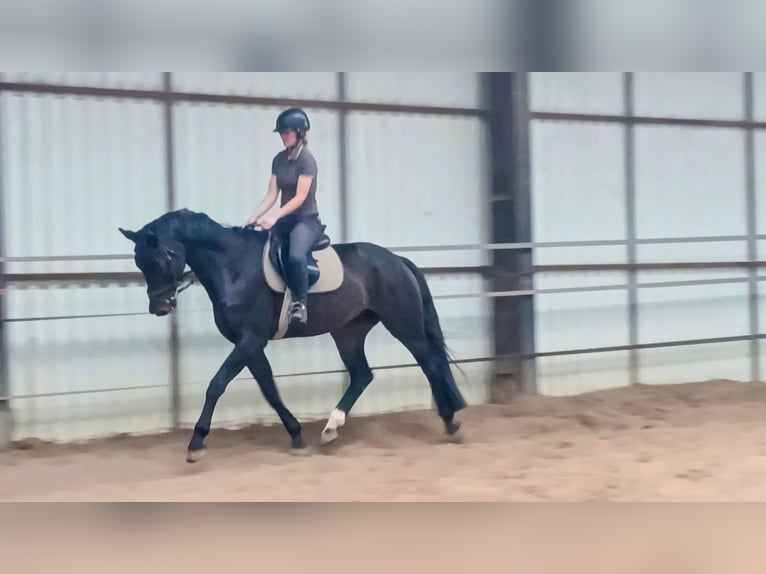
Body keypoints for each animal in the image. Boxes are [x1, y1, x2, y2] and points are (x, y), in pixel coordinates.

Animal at [118, 208, 467, 463]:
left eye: (165, 255)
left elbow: (216, 385)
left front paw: (196, 442)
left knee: (430, 363)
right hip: (348, 331)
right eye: (139, 261)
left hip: (402, 323)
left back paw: (451, 423)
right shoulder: (250, 344)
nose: (160, 307)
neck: (233, 268)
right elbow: (269, 389)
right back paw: (331, 429)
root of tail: (397, 260)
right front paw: (297, 436)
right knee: (362, 375)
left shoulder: (250, 340)